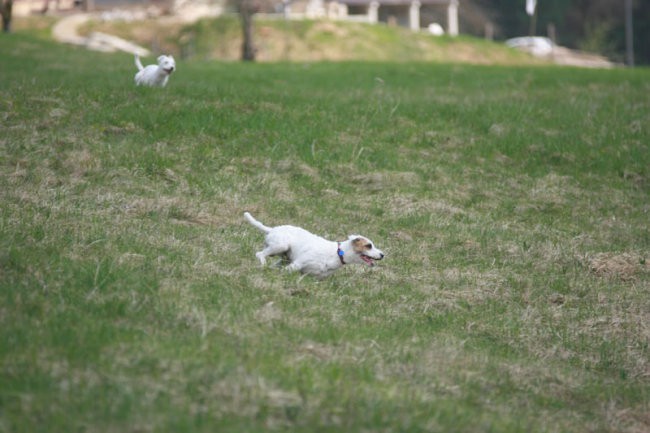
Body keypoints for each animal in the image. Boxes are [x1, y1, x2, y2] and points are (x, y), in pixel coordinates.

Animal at [244, 211, 384, 278]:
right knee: (259, 254)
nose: (383, 255)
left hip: (284, 258)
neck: (337, 254)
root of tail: (272, 229)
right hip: (281, 246)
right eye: (369, 245)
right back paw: (263, 265)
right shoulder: (296, 265)